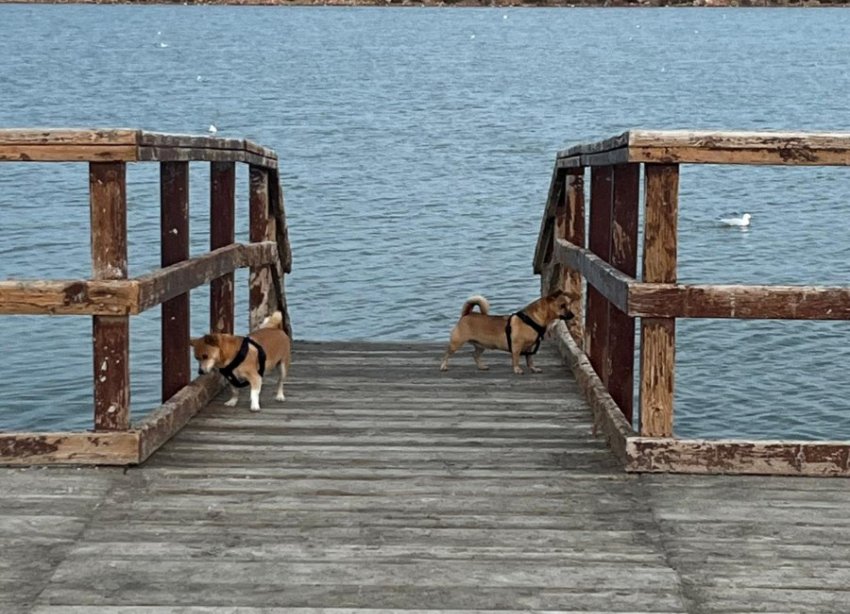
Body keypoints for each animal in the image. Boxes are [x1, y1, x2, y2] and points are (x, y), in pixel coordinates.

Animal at [440, 292, 572, 376]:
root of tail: (467, 314)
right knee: (447, 354)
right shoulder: (517, 346)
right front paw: (517, 370)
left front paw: (533, 368)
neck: (532, 320)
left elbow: (530, 360)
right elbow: (516, 359)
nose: (573, 315)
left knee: (475, 355)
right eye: (562, 306)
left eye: (568, 305)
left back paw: (482, 366)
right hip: (456, 343)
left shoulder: (530, 347)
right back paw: (443, 366)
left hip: (481, 345)